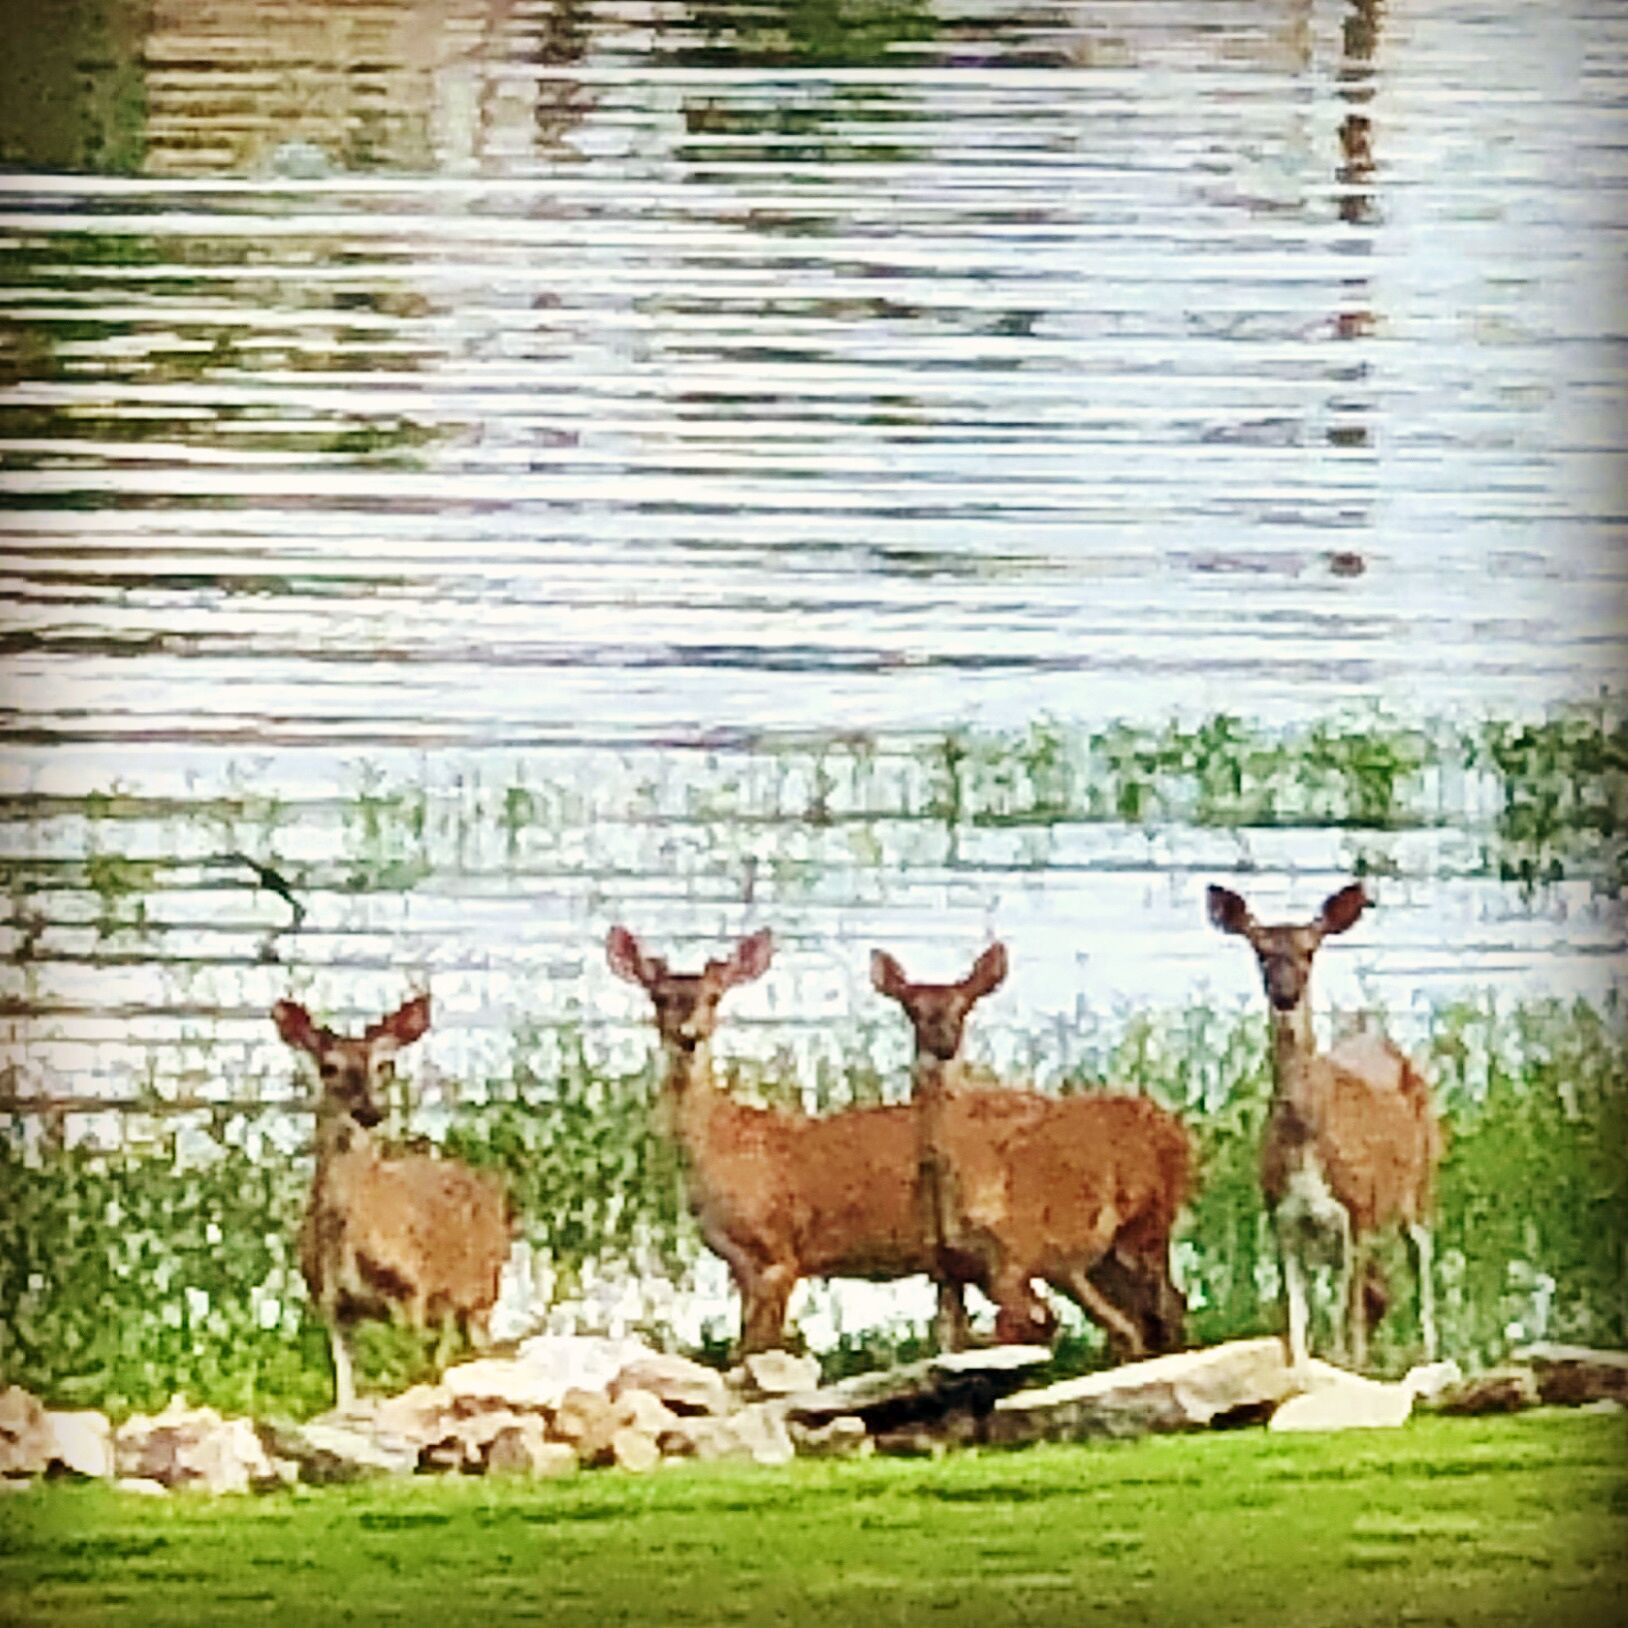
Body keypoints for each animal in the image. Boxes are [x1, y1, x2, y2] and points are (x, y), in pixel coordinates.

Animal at [273, 994, 513, 1411]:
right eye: (328, 1067)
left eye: (385, 1064)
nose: (371, 1112)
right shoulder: (331, 1304)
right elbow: (345, 1392)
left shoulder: (412, 1288)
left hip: (483, 1288)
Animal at [606, 925, 1058, 1356]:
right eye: (659, 997)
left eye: (715, 996)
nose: (688, 1034)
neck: (725, 1141)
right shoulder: (740, 1264)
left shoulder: (778, 1250)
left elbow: (754, 1352)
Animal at [871, 944, 1192, 1361]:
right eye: (911, 1007)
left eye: (966, 1006)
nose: (943, 1044)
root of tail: (1178, 1129)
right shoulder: (946, 1268)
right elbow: (951, 1341)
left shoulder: (1017, 1253)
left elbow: (1025, 1326)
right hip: (1102, 1259)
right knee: (1141, 1320)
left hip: (1147, 1224)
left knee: (1165, 1307)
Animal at [1206, 881, 1444, 1372]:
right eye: (1260, 951)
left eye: (1309, 951)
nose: (1285, 993)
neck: (1307, 1150)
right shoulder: (1283, 1221)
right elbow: (1298, 1333)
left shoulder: (1357, 1212)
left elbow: (1345, 1332)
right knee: (1380, 1290)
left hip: (1421, 1183)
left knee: (1420, 1265)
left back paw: (1429, 1354)